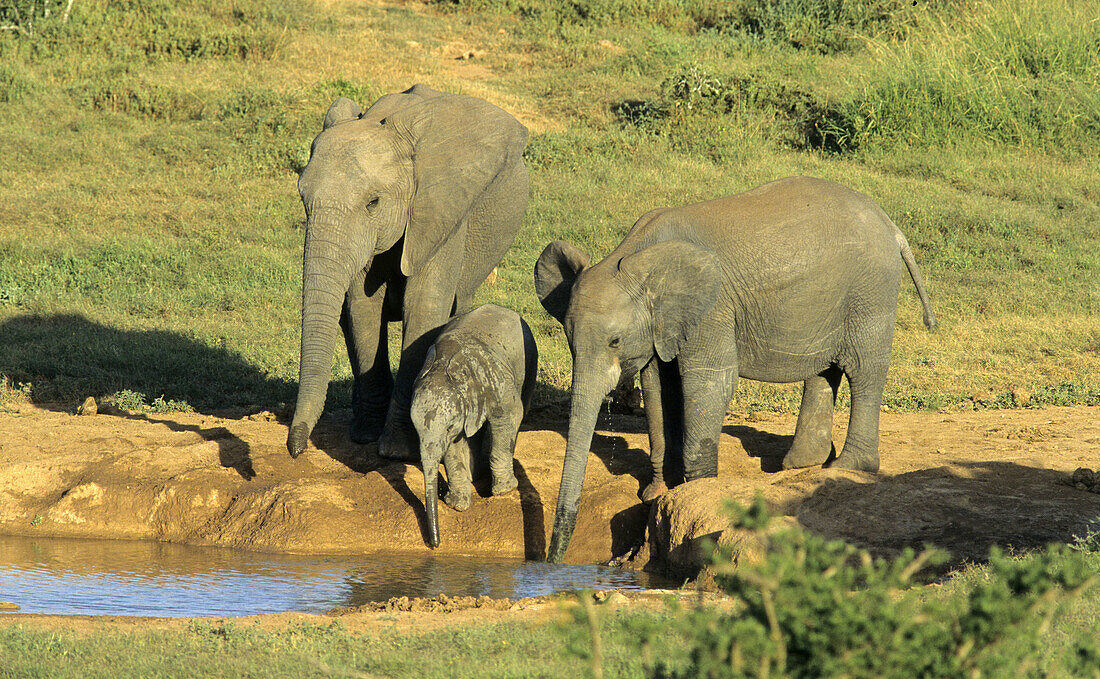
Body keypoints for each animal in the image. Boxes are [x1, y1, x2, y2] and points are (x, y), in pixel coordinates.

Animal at [288, 83, 528, 460]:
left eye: (373, 202)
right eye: (302, 199)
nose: (296, 449)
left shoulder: (440, 213)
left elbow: (424, 309)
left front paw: (397, 450)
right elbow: (361, 308)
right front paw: (367, 438)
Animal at [411, 303, 539, 548]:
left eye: (449, 427)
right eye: (416, 431)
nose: (435, 544)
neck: (444, 366)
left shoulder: (495, 379)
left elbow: (508, 418)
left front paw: (504, 490)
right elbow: (455, 446)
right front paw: (457, 504)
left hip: (530, 360)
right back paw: (475, 473)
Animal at [532, 174, 937, 561]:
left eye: (614, 341)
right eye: (569, 341)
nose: (552, 559)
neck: (636, 256)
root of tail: (891, 226)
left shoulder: (713, 309)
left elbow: (707, 385)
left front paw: (697, 490)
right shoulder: (660, 325)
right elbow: (659, 389)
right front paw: (657, 492)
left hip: (871, 291)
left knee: (863, 370)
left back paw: (846, 467)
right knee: (825, 369)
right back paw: (799, 464)